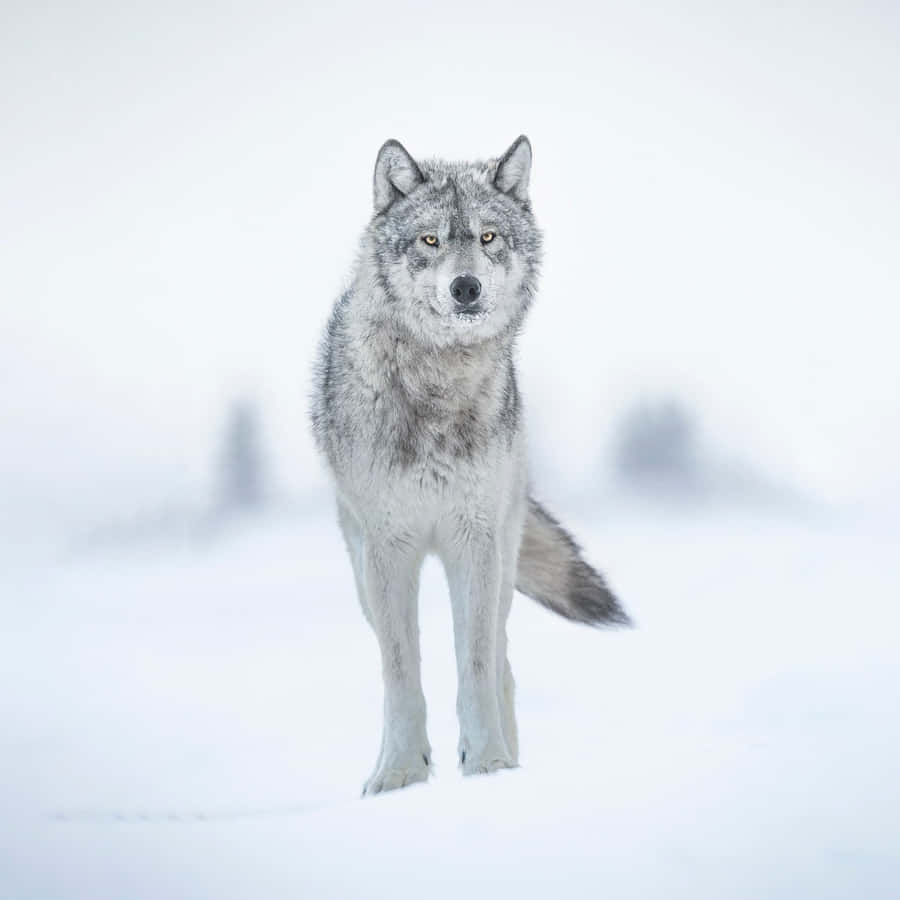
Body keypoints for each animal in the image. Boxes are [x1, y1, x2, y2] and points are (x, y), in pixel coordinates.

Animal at [310, 136, 630, 796]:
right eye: (430, 240)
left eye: (487, 237)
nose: (466, 288)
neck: (438, 386)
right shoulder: (388, 551)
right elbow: (400, 673)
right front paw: (400, 774)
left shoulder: (474, 542)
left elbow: (477, 664)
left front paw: (488, 765)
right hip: (361, 566)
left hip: (502, 557)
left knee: (501, 659)